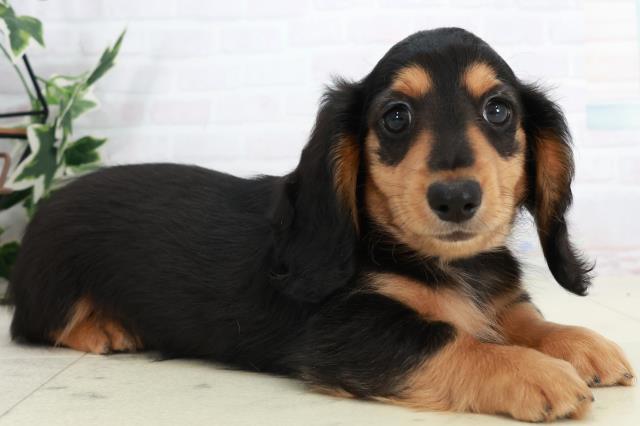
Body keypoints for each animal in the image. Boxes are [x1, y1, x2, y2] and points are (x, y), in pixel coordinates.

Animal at [7, 28, 634, 422]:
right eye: (396, 117)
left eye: (498, 111)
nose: (456, 199)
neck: (440, 261)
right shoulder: (345, 334)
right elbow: (448, 338)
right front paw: (537, 373)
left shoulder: (496, 301)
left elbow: (521, 318)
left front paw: (579, 344)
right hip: (55, 288)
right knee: (36, 325)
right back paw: (106, 330)